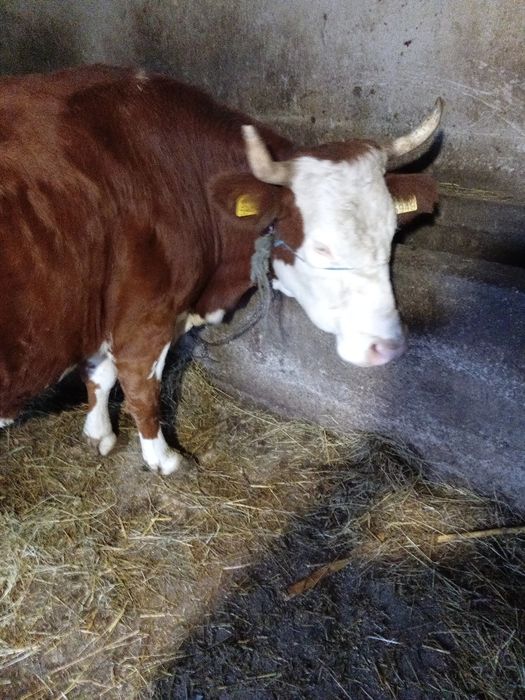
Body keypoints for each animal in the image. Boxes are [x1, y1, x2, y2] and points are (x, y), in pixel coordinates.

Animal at [0, 65, 441, 474]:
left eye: (391, 233)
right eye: (320, 246)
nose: (387, 346)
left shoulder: (104, 309)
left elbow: (100, 373)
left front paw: (99, 434)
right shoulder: (146, 317)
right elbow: (140, 387)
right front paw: (164, 459)